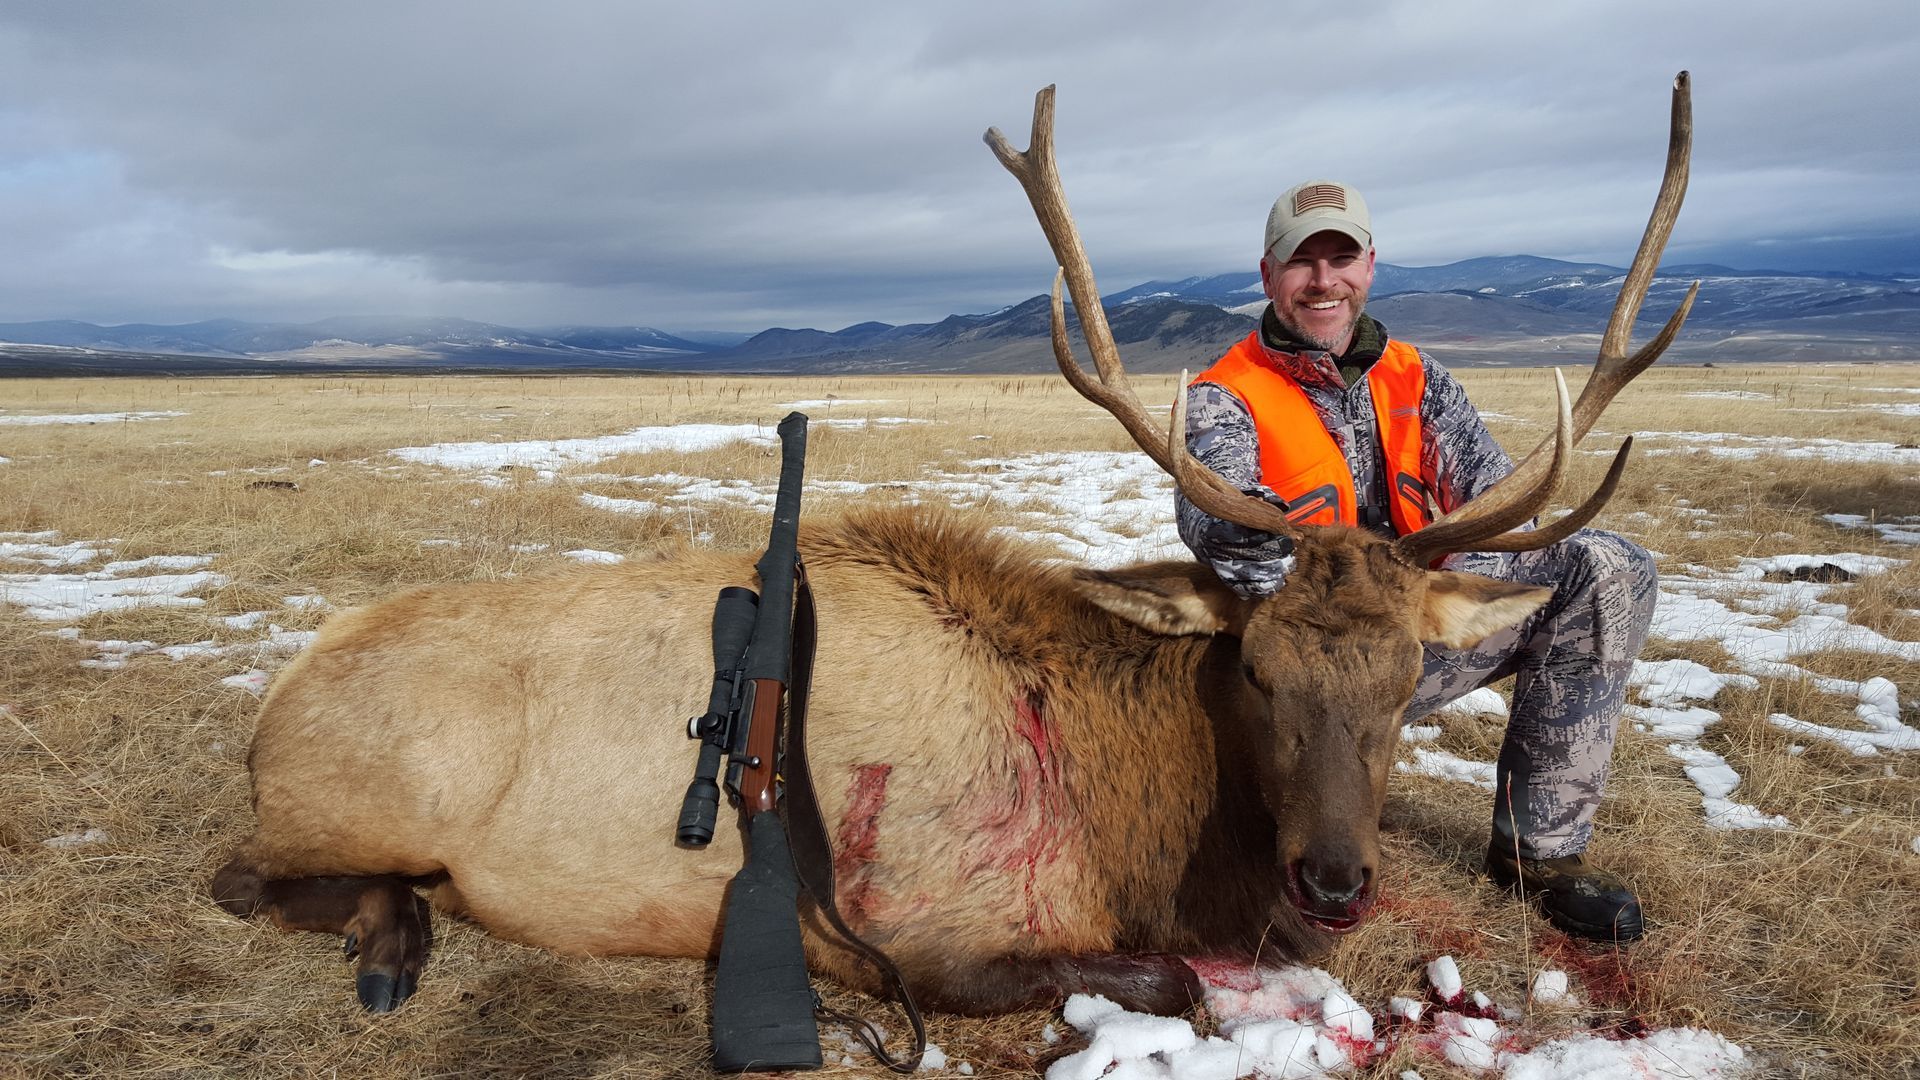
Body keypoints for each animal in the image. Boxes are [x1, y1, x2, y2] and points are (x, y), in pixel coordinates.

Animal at [209, 75, 1694, 1022]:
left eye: (1401, 687)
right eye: (1257, 669)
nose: (1333, 880)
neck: (1138, 814)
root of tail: (273, 703)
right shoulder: (925, 931)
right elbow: (1160, 982)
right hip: (363, 792)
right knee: (243, 873)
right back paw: (392, 935)